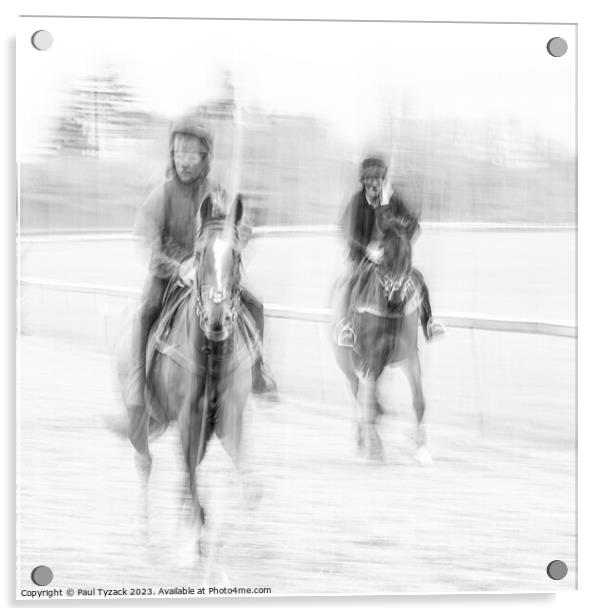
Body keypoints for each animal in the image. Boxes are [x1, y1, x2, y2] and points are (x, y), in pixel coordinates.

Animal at [117, 190, 258, 564]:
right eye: (198, 254)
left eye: (237, 255)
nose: (217, 317)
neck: (212, 356)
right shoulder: (186, 419)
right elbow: (193, 483)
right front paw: (194, 544)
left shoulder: (228, 418)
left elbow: (248, 481)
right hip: (139, 414)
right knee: (145, 461)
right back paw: (145, 533)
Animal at [330, 219, 428, 464]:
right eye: (384, 257)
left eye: (408, 256)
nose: (395, 299)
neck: (389, 313)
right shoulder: (371, 359)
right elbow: (370, 404)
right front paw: (375, 449)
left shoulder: (409, 356)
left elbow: (419, 400)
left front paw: (422, 450)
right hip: (347, 363)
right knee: (357, 393)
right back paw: (361, 439)